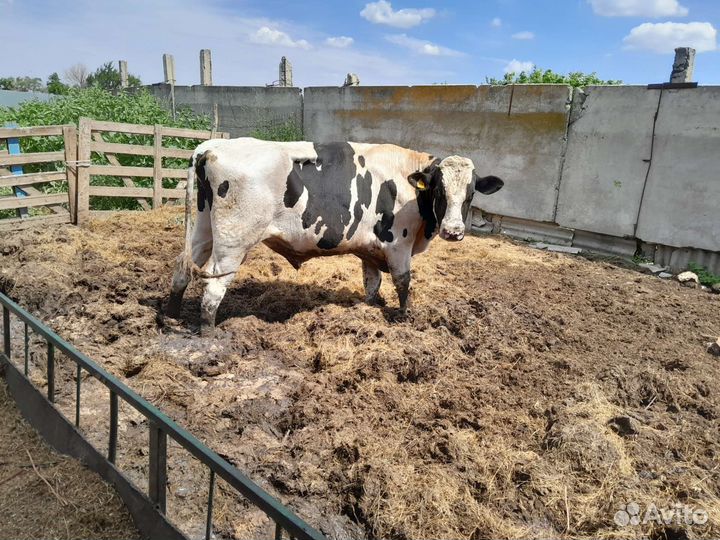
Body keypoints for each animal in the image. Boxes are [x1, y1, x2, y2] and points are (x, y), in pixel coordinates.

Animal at [166, 138, 503, 335]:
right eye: (440, 190)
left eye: (471, 192)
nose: (454, 231)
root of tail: (211, 147)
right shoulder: (398, 243)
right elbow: (403, 282)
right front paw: (404, 317)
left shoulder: (370, 249)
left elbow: (371, 284)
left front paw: (367, 310)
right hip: (234, 241)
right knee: (213, 286)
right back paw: (211, 338)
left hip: (204, 228)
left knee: (183, 267)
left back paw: (169, 318)